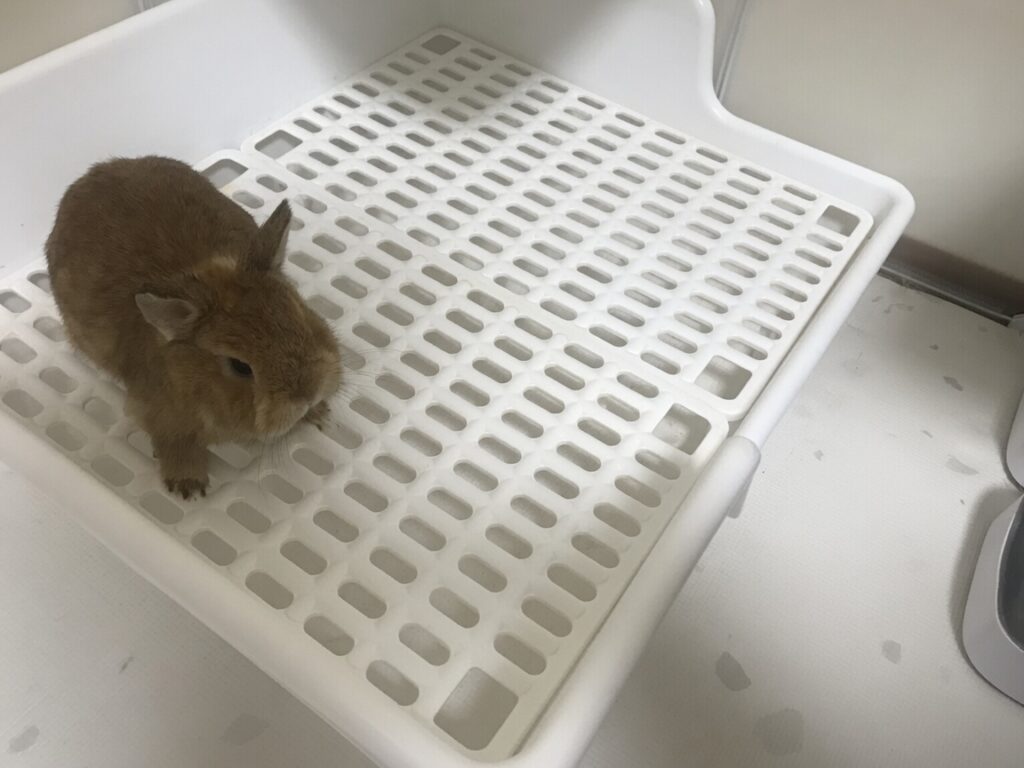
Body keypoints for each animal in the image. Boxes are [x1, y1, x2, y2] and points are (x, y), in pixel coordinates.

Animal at [45, 156, 342, 499]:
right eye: (240, 367)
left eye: (299, 313)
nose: (308, 392)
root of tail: (94, 172)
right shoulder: (161, 416)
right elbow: (178, 445)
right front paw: (188, 485)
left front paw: (319, 412)